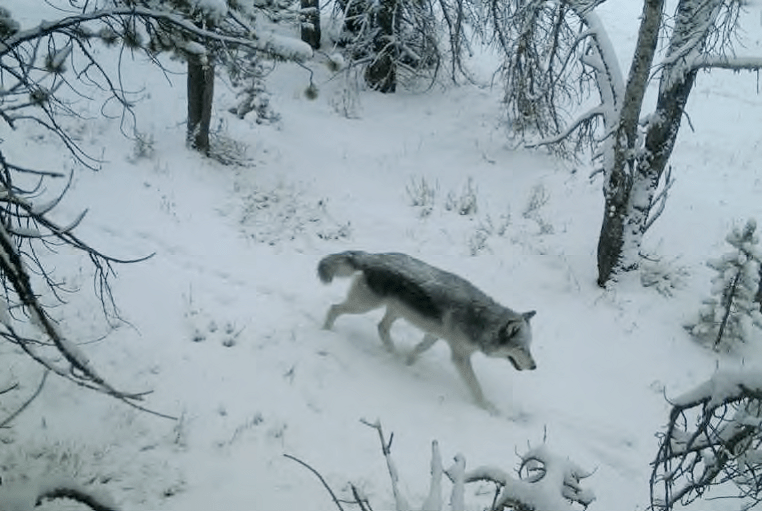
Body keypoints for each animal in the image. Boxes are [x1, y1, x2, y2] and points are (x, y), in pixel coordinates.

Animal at [317, 250, 536, 410]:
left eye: (529, 347)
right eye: (521, 348)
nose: (534, 367)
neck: (481, 321)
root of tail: (373, 256)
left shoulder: (434, 335)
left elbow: (418, 349)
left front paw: (408, 363)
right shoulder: (460, 357)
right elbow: (476, 386)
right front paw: (487, 408)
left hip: (396, 311)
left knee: (381, 327)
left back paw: (393, 354)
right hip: (365, 306)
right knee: (334, 308)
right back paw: (326, 331)